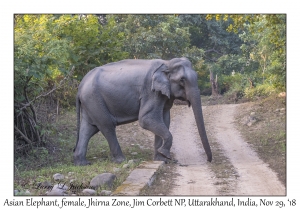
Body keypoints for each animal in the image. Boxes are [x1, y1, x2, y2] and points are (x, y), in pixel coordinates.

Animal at [73, 57, 212, 166]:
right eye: (182, 80)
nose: (208, 161)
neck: (167, 63)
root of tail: (80, 86)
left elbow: (164, 119)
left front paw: (161, 159)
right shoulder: (150, 91)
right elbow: (147, 119)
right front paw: (165, 155)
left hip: (90, 102)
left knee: (89, 128)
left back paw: (82, 163)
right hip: (94, 99)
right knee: (107, 126)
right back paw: (122, 160)